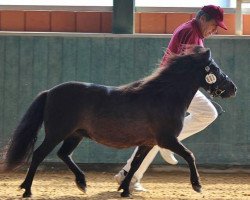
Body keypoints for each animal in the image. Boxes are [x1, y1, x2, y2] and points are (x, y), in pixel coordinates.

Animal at [0, 46, 236, 198]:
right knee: (39, 154)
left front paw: (124, 189)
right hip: (56, 133)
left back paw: (82, 183)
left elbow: (136, 164)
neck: (163, 96)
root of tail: (50, 92)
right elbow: (189, 155)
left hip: (75, 134)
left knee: (63, 154)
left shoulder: (148, 142)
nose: (233, 88)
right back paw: (27, 189)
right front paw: (197, 186)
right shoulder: (167, 139)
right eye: (215, 68)